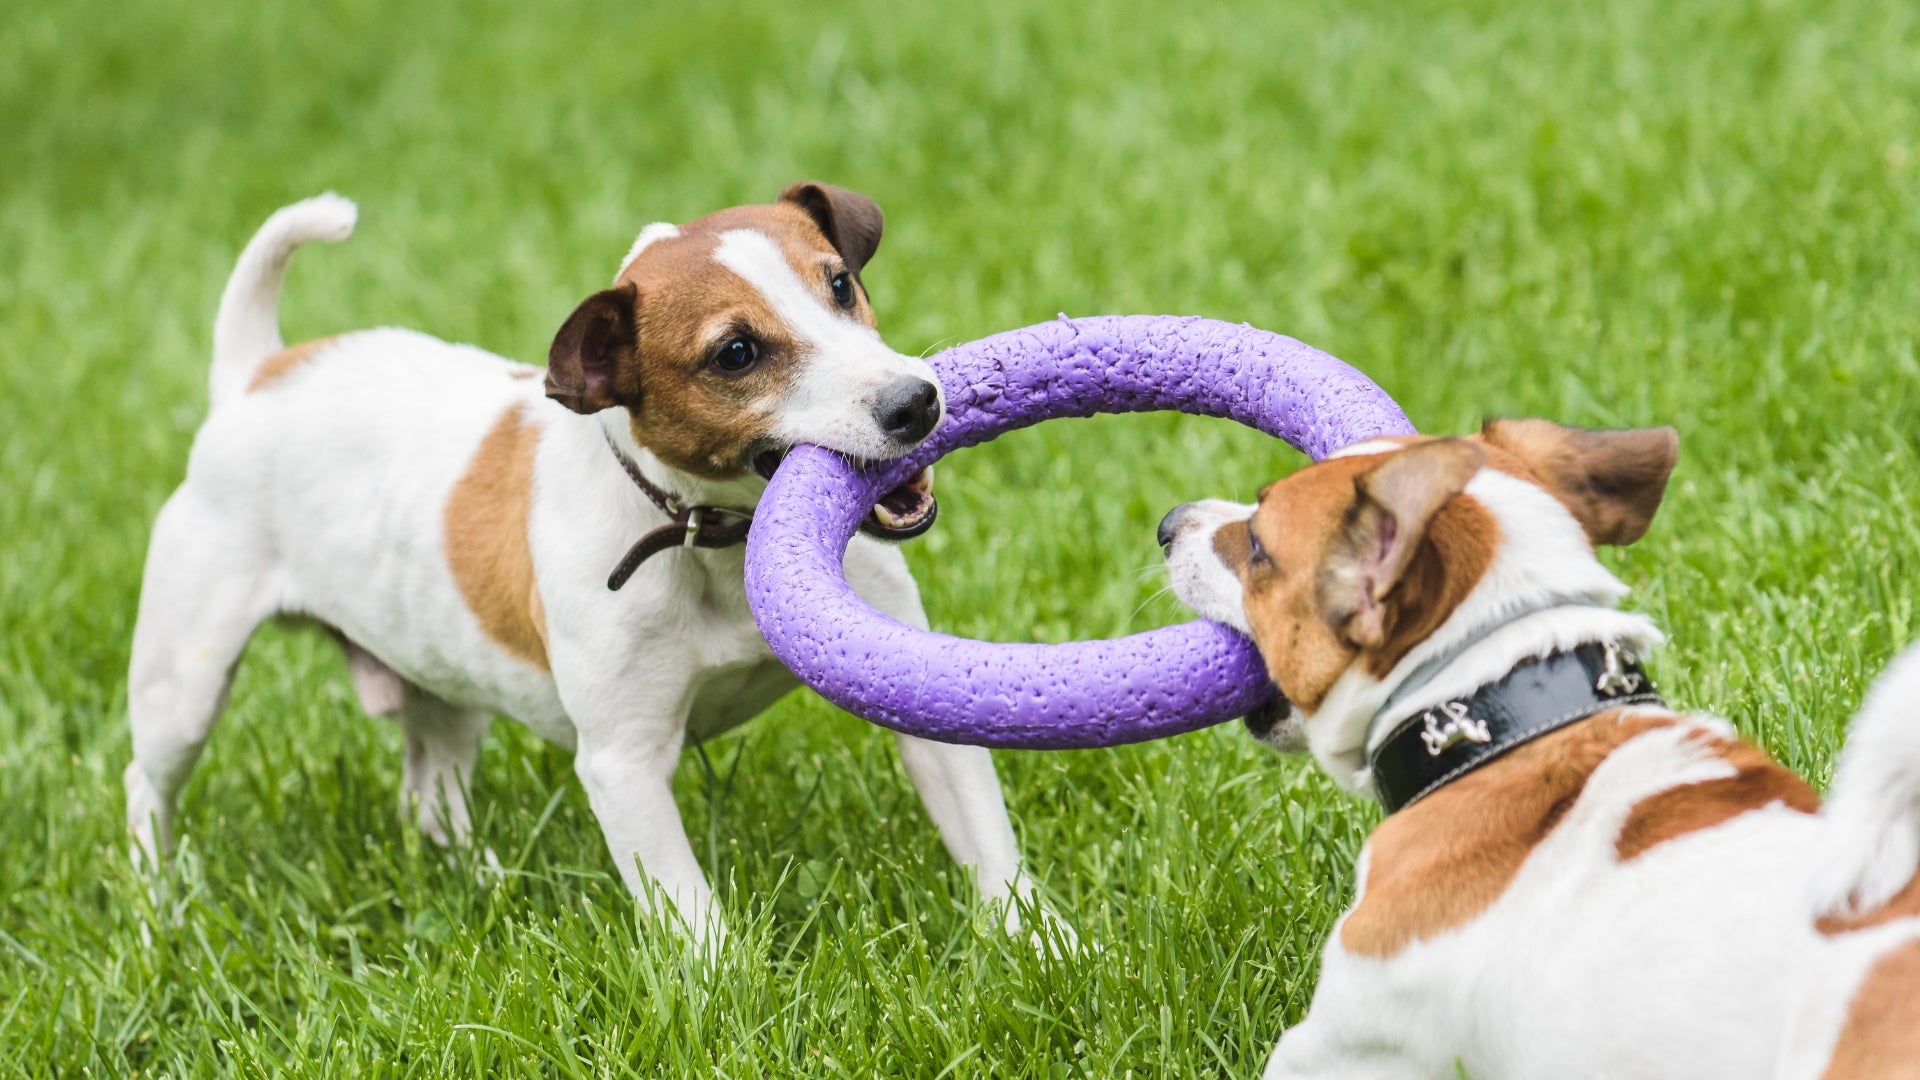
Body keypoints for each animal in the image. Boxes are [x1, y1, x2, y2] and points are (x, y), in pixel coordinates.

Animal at [123, 184, 1052, 941]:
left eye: (838, 285)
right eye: (736, 353)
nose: (916, 402)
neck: (708, 541)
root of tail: (258, 375)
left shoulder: (913, 687)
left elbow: (985, 834)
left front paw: (1041, 945)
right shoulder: (623, 764)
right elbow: (689, 912)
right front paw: (728, 999)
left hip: (444, 681)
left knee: (430, 793)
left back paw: (489, 880)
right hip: (186, 683)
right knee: (146, 781)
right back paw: (159, 904)